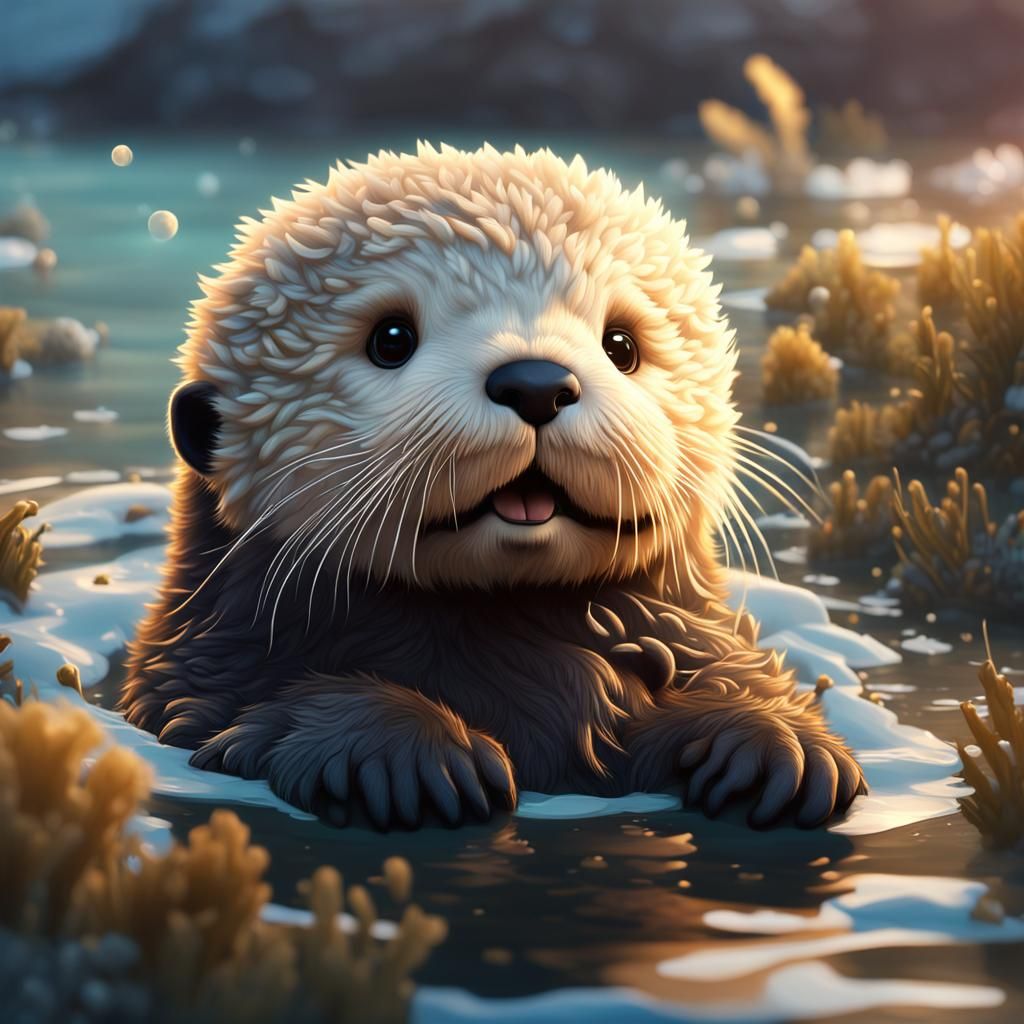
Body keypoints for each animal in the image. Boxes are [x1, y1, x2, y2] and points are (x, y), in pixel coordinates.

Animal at [122, 143, 865, 830]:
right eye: (391, 338)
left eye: (621, 345)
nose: (536, 383)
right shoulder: (202, 677)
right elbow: (253, 715)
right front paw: (406, 755)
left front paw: (772, 742)